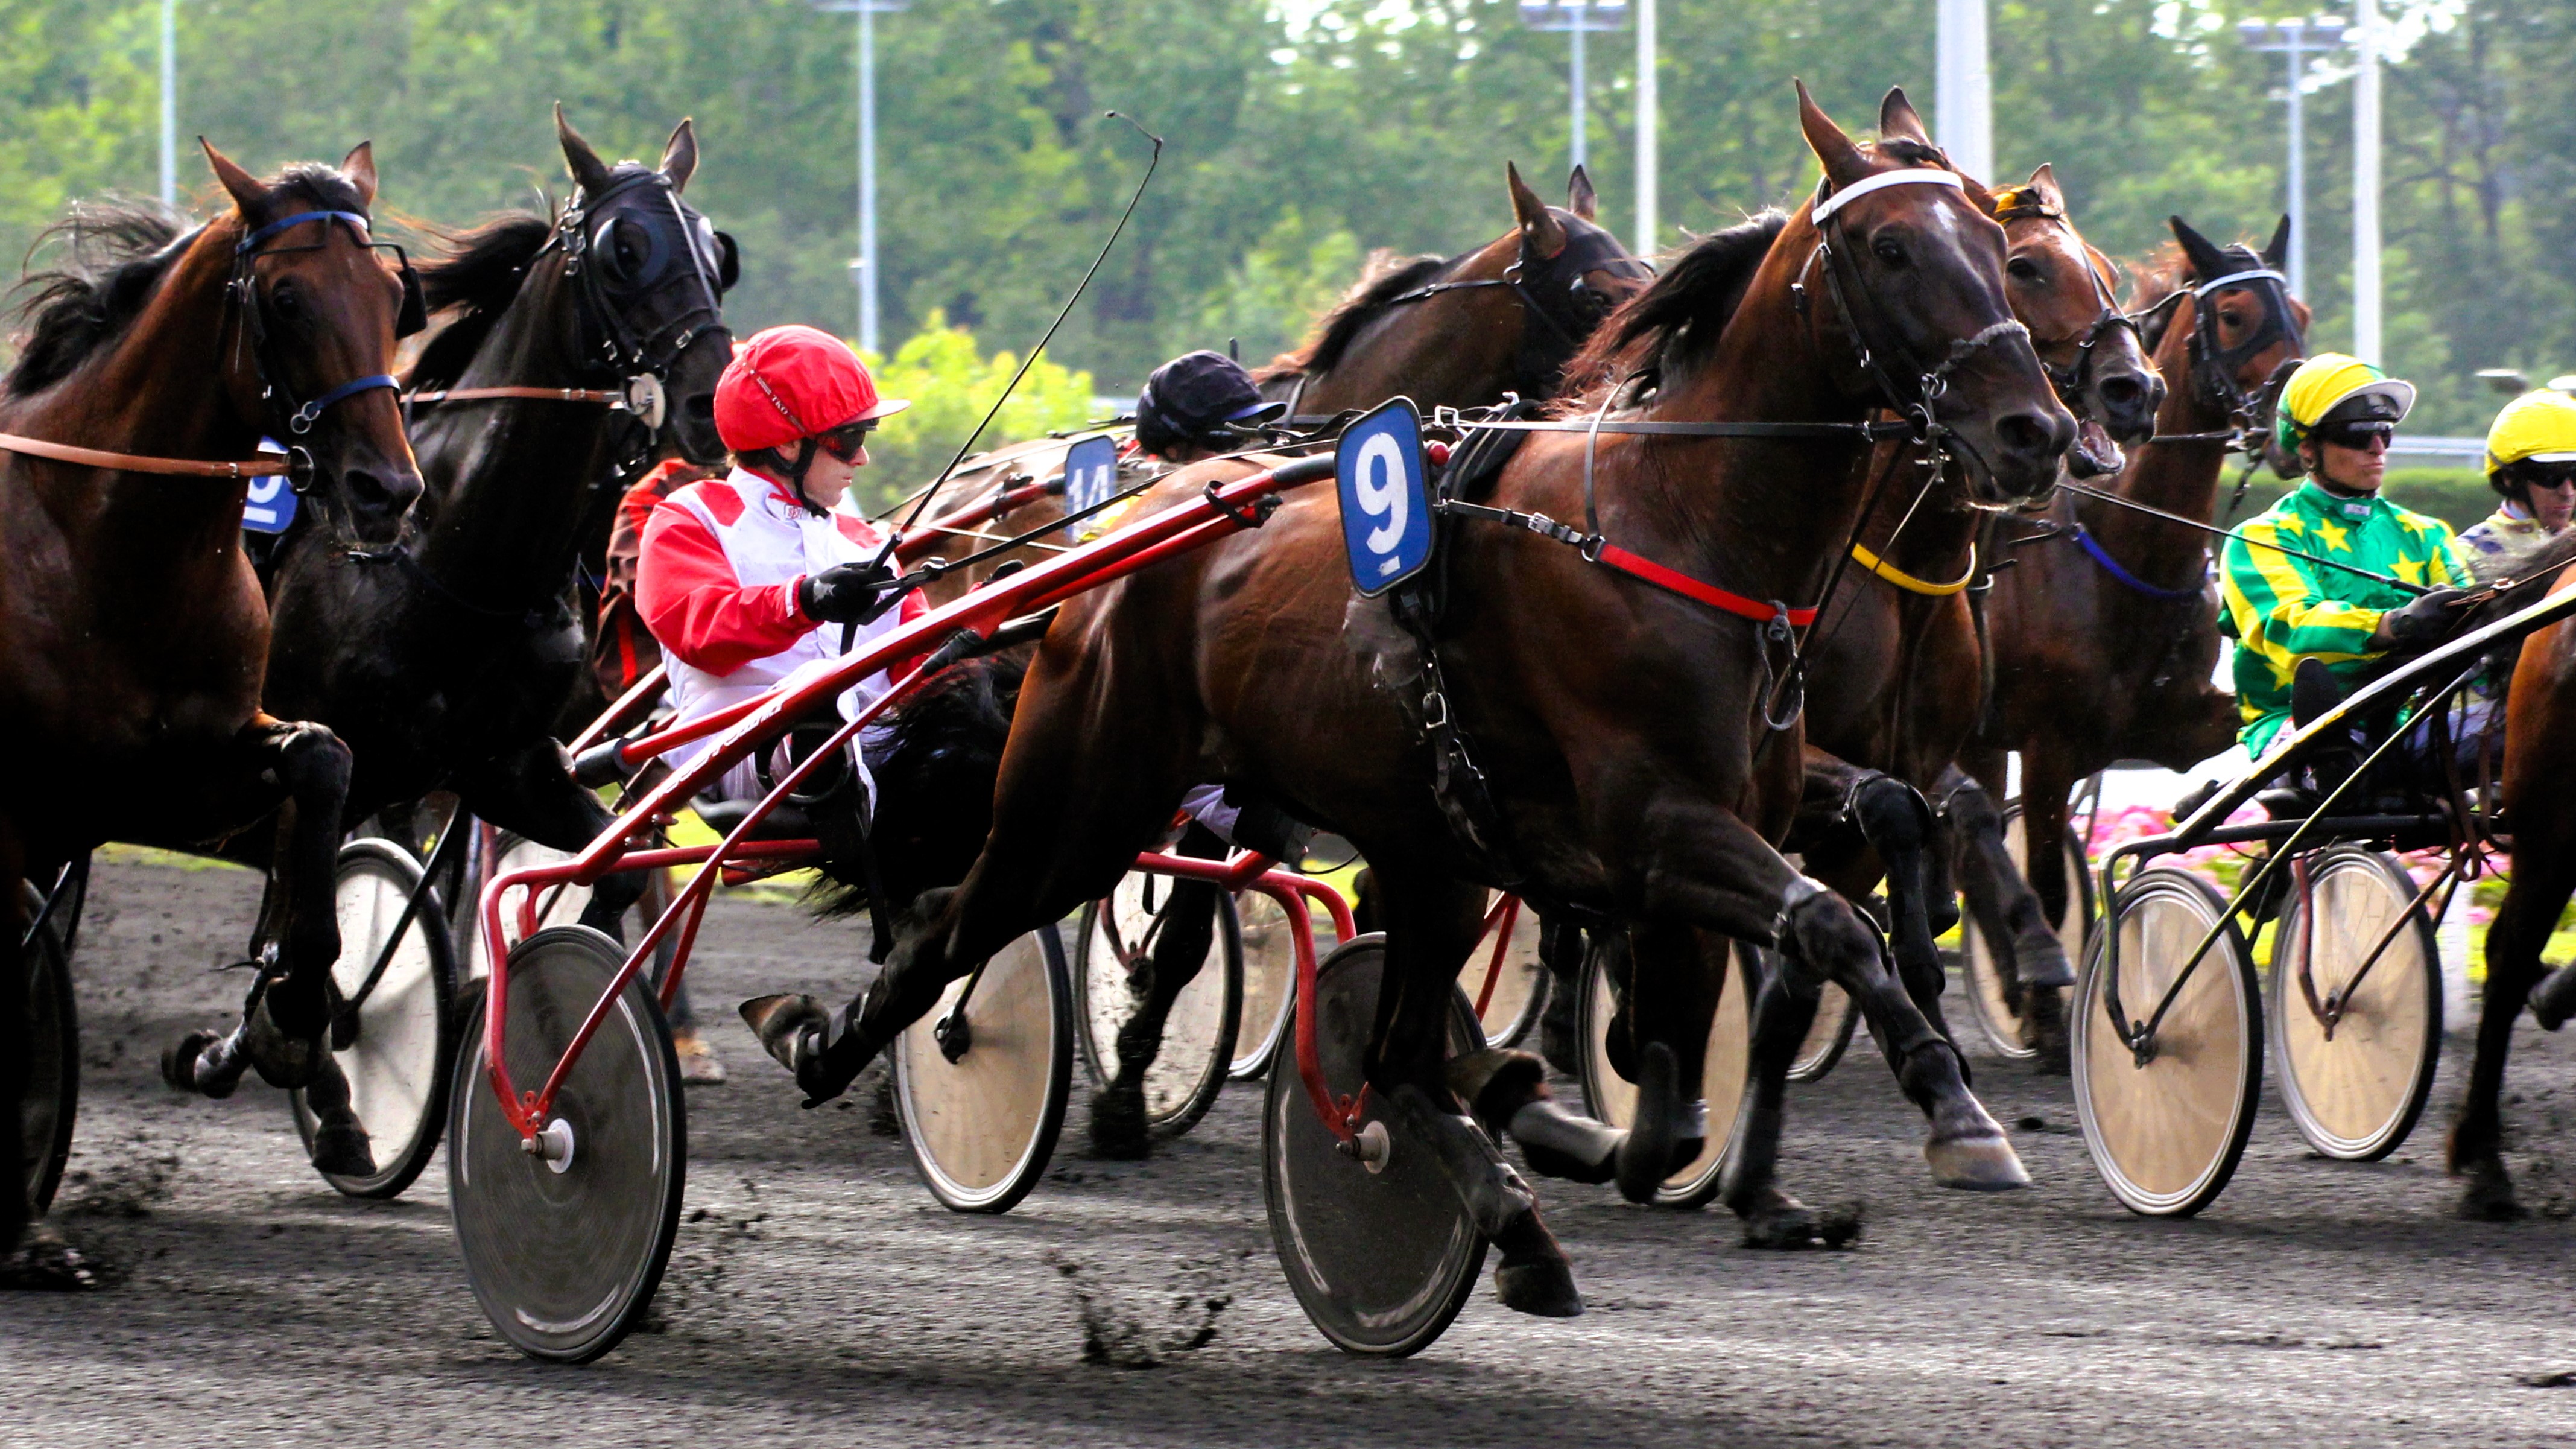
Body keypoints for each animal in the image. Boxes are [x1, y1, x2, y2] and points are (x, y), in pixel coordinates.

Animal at [2, 147, 422, 1273]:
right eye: (285, 296)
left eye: (392, 296)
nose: (387, 489)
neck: (104, 550)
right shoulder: (39, 804)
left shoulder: (178, 774)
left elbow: (324, 764)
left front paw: (294, 1012)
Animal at [158, 110, 736, 1175]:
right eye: (622, 248)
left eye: (716, 254)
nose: (712, 397)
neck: (453, 550)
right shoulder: (319, 761)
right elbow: (304, 940)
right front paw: (279, 1053)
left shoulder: (504, 767)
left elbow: (614, 869)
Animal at [757, 84, 2071, 1304]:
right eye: (1892, 249)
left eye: (1991, 240)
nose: (2037, 430)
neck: (1680, 530)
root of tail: (1128, 541)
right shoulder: (1656, 827)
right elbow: (1822, 923)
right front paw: (1956, 1116)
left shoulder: (1712, 823)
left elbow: (1699, 1049)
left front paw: (1684, 1152)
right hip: (1083, 802)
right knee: (949, 927)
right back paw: (840, 1046)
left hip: (1424, 850)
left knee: (1390, 1055)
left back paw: (1513, 1213)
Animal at [1957, 214, 2308, 1057]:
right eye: (2233, 315)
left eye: (2300, 313)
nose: (2289, 417)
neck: (2120, 545)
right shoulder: (2048, 744)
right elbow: (2048, 881)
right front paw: (2047, 1012)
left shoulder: (2171, 720)